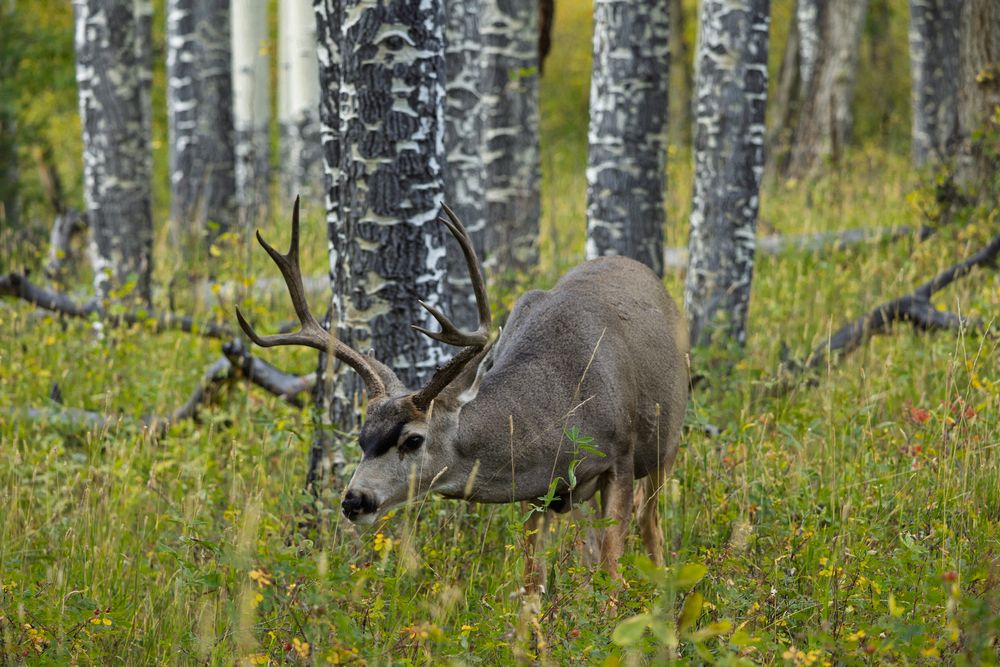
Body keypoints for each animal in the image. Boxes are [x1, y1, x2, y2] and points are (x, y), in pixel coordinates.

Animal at [236, 198, 689, 582]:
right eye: (362, 438)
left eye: (413, 439)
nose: (354, 501)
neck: (568, 403)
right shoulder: (539, 489)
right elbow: (533, 579)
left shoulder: (621, 458)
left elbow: (613, 566)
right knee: (590, 544)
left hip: (665, 446)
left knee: (650, 526)